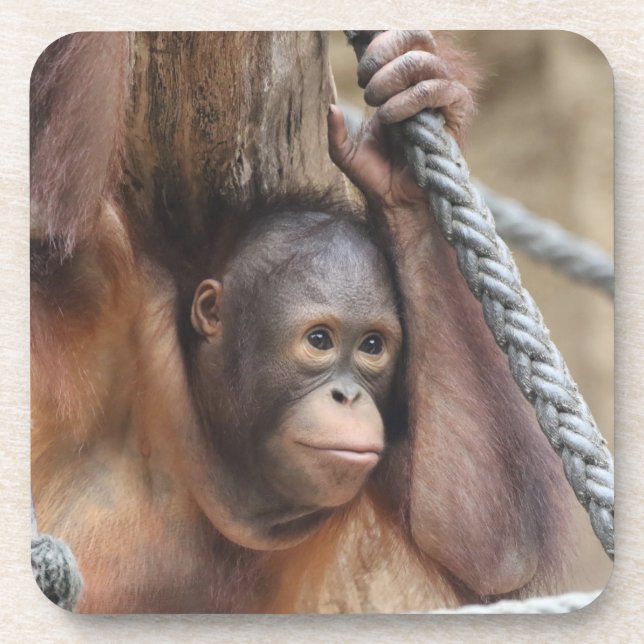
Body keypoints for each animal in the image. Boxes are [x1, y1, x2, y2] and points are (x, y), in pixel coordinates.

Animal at [30, 31, 571, 612]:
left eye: (372, 347)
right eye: (319, 340)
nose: (348, 396)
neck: (219, 440)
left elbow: (490, 546)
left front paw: (408, 129)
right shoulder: (106, 291)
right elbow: (46, 218)